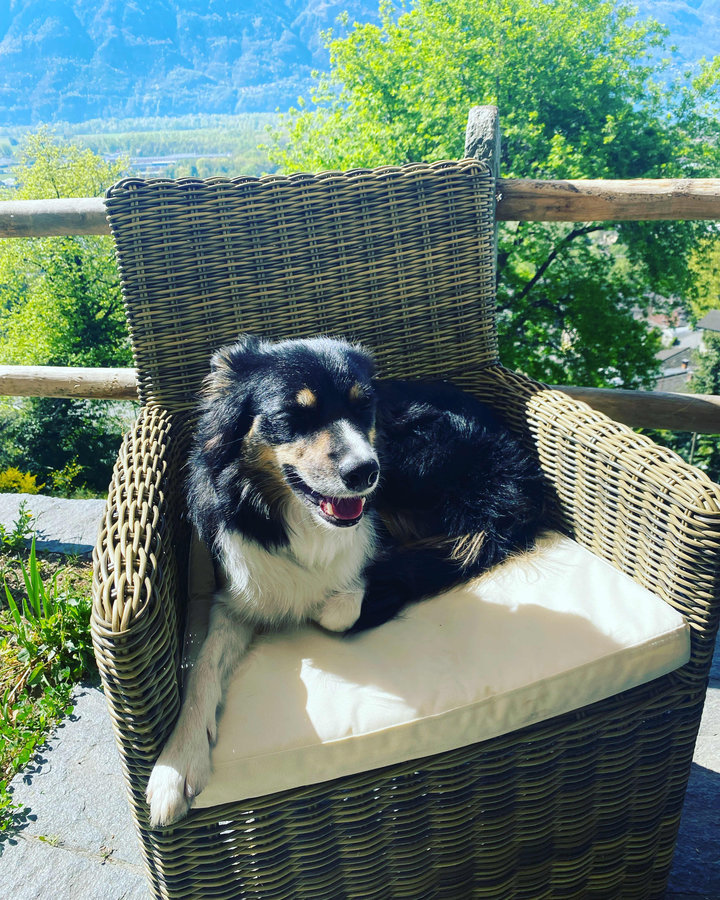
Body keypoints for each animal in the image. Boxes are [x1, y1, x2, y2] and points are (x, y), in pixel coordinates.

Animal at [146, 334, 545, 827]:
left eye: (363, 408)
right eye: (293, 416)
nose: (365, 472)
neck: (296, 518)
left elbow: (341, 601)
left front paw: (353, 596)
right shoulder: (238, 592)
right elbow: (202, 666)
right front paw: (176, 764)